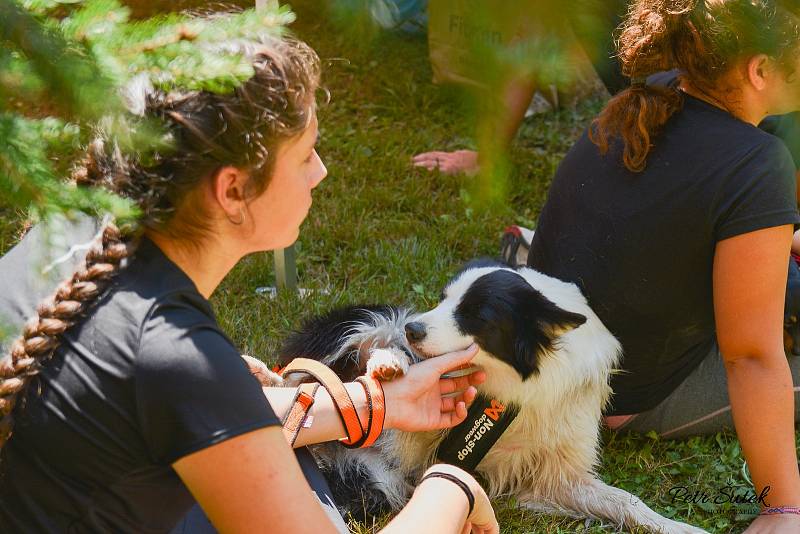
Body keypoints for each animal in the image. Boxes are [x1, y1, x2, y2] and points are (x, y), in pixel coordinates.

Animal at [270, 262, 708, 534]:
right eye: (443, 299)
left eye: (475, 314)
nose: (413, 331)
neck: (514, 386)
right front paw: (390, 364)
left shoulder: (558, 472)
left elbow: (626, 501)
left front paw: (678, 526)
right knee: (302, 374)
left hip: (374, 480)